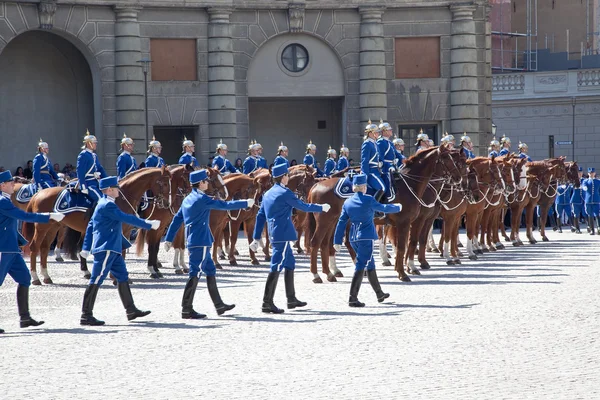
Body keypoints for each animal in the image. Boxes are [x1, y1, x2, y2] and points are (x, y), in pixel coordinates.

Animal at [22, 167, 173, 282]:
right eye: (165, 183)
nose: (166, 204)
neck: (121, 198)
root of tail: (38, 194)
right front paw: (116, 277)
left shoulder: (125, 231)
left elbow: (121, 252)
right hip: (42, 228)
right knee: (35, 247)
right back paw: (35, 278)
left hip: (53, 227)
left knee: (45, 248)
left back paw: (47, 276)